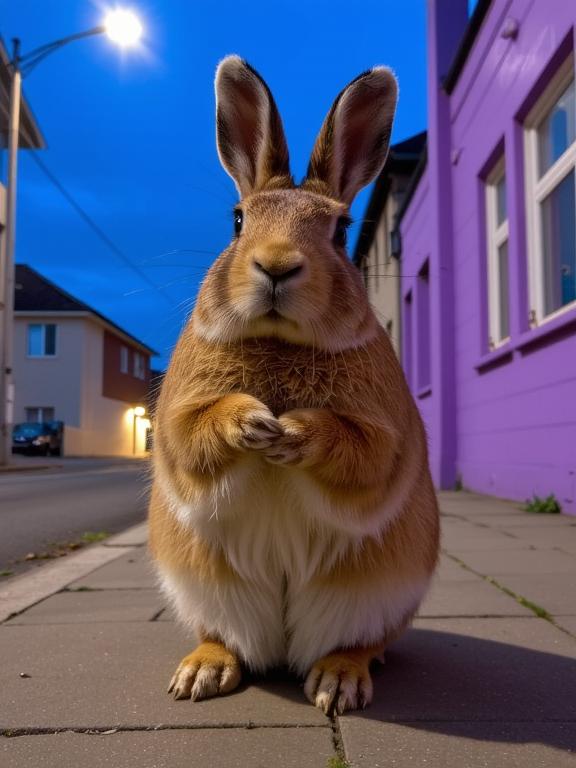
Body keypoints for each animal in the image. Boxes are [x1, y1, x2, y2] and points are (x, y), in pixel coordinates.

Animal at [148, 55, 439, 715]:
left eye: (341, 230)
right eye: (237, 221)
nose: (277, 266)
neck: (281, 343)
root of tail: (284, 651)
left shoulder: (384, 437)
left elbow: (360, 453)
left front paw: (292, 433)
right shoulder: (177, 421)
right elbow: (193, 435)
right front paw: (251, 421)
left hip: (379, 597)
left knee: (360, 643)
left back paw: (338, 681)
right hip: (201, 588)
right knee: (224, 637)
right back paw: (202, 672)